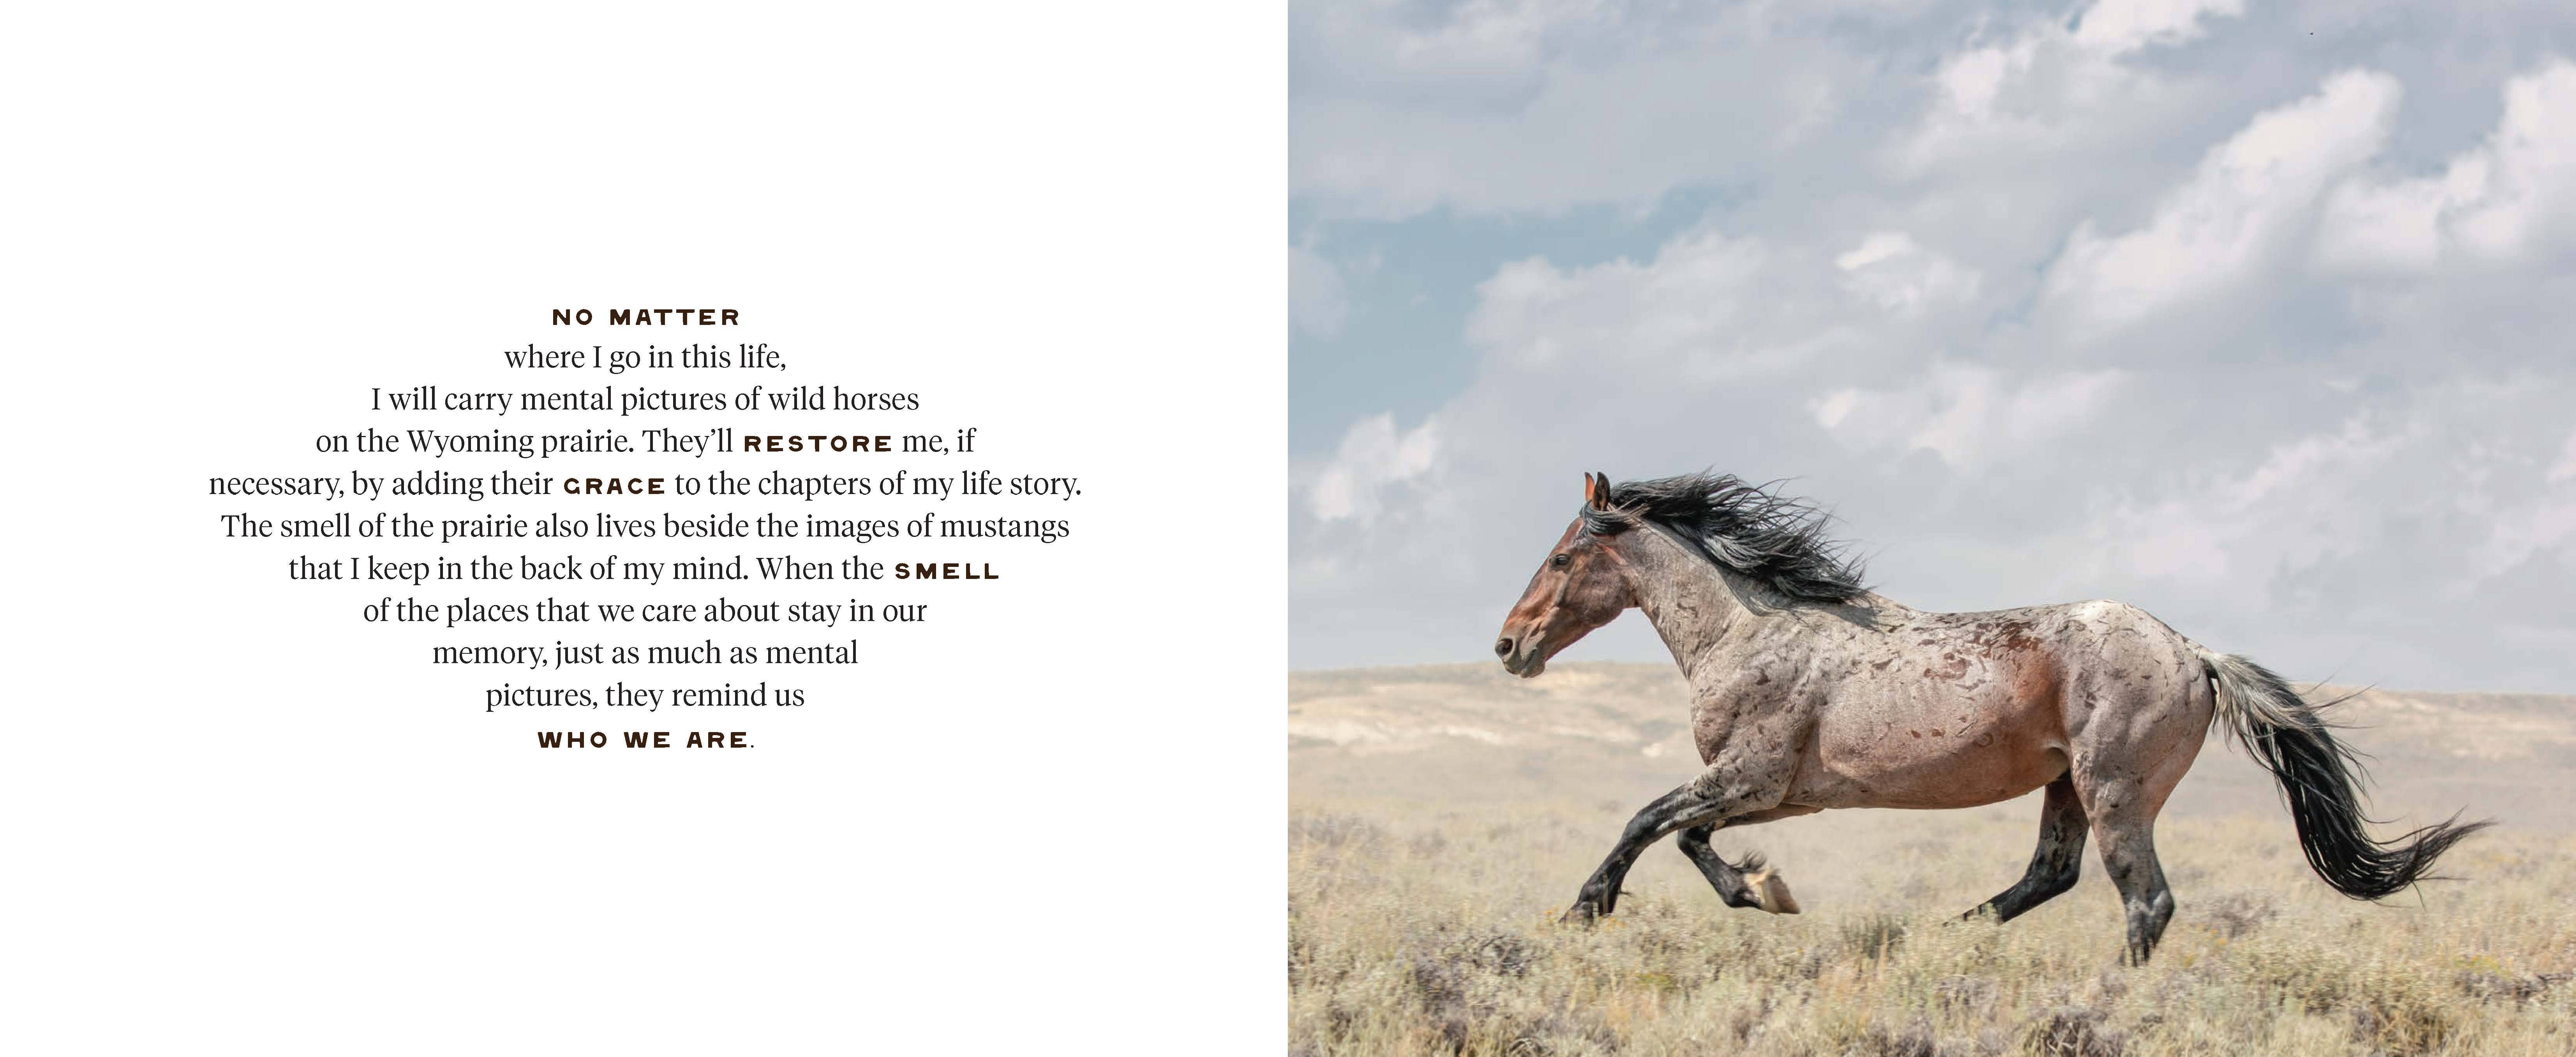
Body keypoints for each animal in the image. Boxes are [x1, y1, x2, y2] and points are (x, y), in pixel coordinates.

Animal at [1492, 471, 2488, 964]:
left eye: (1560, 556)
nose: (1508, 645)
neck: (1748, 628)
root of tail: (2195, 653)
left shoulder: (1751, 775)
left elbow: (1646, 820)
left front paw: (1585, 911)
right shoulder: (1775, 792)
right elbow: (1690, 837)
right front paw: (1765, 890)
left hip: (2114, 790)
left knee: (2144, 900)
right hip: (2066, 789)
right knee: (2050, 875)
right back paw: (1944, 934)